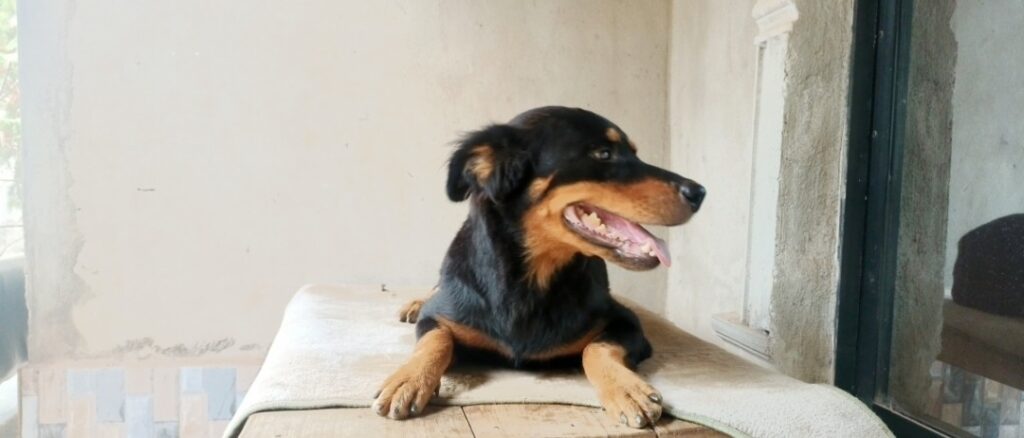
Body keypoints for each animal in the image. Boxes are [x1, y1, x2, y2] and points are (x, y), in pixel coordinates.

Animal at [374, 105, 704, 427]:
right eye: (603, 153)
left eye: (635, 152)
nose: (700, 193)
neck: (530, 280)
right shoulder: (439, 316)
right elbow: (435, 340)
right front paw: (408, 379)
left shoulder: (626, 321)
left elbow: (596, 347)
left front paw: (626, 388)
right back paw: (415, 303)